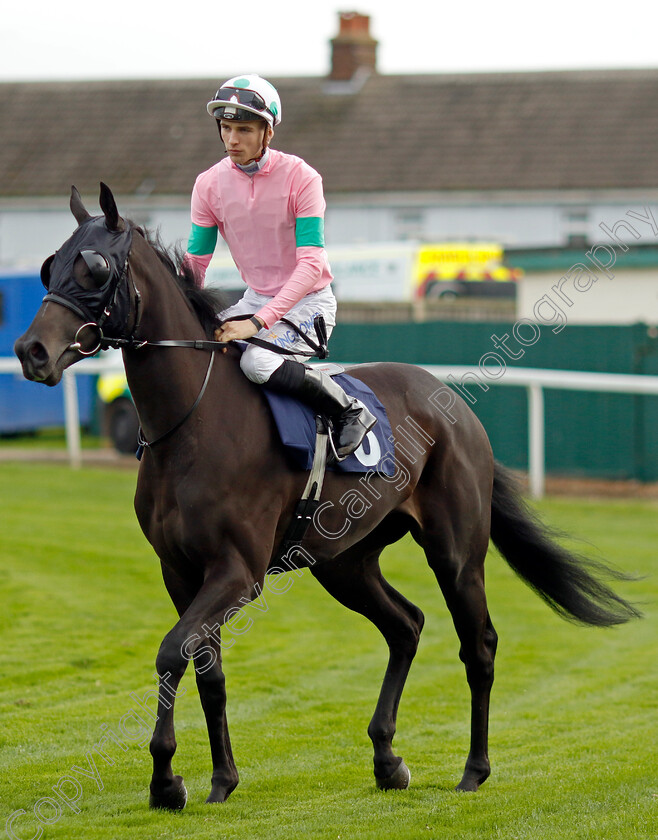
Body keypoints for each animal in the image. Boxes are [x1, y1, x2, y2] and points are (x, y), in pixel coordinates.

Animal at [12, 184, 640, 808]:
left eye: (94, 268)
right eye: (51, 265)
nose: (30, 351)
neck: (193, 421)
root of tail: (451, 402)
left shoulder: (238, 571)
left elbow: (171, 651)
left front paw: (167, 779)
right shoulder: (181, 571)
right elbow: (205, 666)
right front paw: (220, 778)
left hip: (456, 552)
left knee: (478, 644)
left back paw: (473, 770)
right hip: (344, 562)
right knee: (406, 625)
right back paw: (387, 759)